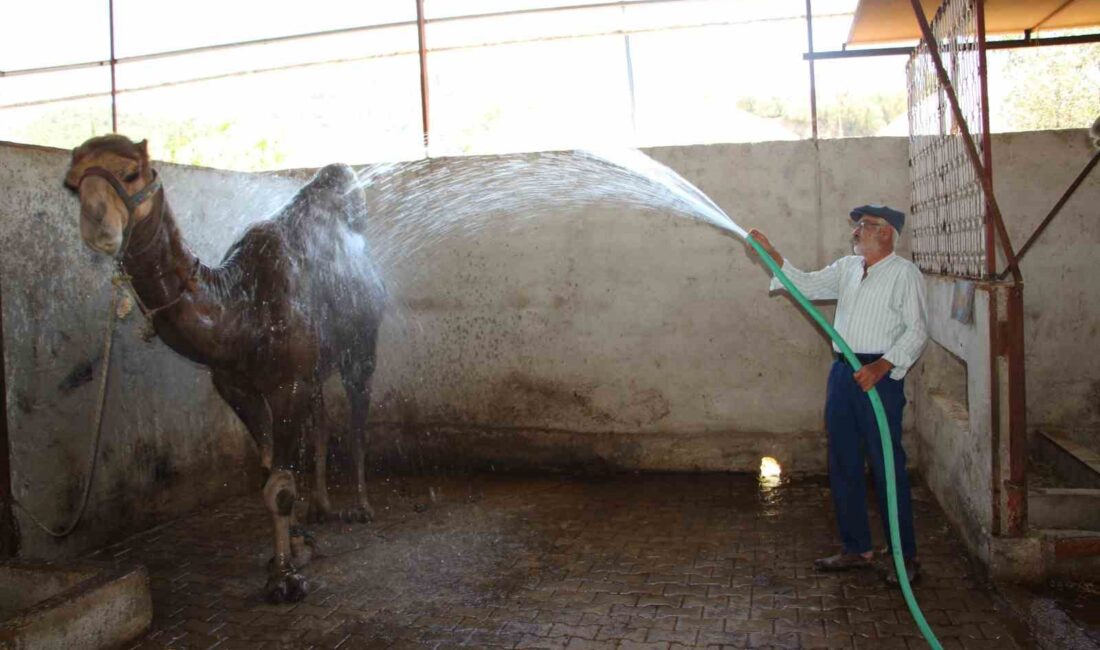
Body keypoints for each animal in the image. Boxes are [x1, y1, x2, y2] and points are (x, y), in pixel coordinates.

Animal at [64, 137, 385, 607]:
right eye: (72, 184)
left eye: (131, 173)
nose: (96, 225)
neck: (240, 308)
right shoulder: (237, 387)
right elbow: (270, 469)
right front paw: (297, 545)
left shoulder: (287, 385)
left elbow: (279, 487)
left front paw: (285, 578)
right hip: (317, 367)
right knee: (323, 422)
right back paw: (322, 507)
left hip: (360, 345)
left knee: (359, 417)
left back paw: (361, 506)